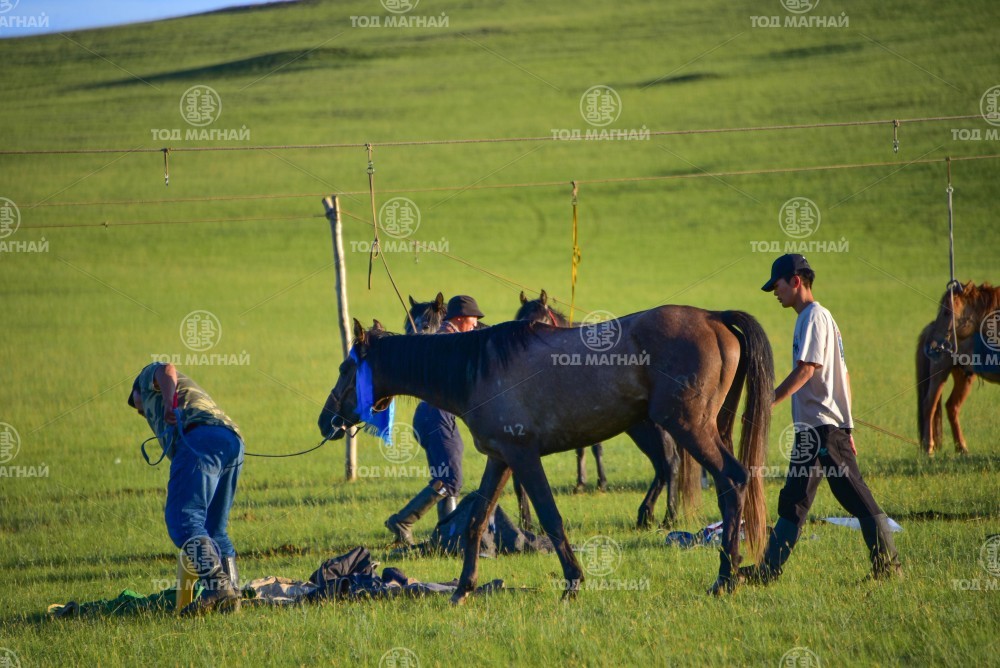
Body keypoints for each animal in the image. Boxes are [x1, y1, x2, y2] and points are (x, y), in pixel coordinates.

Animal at [514, 290, 701, 529]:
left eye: (543, 321)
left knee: (670, 463)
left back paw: (669, 517)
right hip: (641, 430)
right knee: (660, 465)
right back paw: (645, 514)